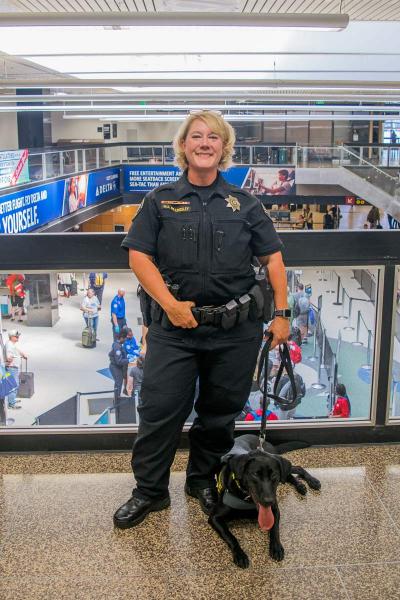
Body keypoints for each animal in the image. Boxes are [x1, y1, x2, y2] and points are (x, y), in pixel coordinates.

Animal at [208, 434, 320, 568]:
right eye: (255, 474)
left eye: (274, 475)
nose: (268, 501)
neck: (245, 497)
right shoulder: (214, 517)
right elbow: (230, 536)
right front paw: (240, 554)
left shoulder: (275, 509)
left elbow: (274, 529)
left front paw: (276, 547)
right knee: (289, 474)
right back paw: (301, 485)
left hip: (281, 467)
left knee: (295, 469)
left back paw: (310, 482)